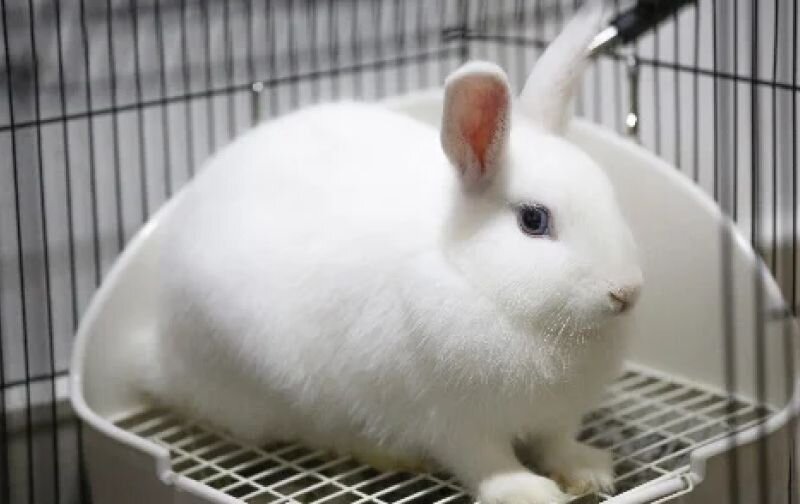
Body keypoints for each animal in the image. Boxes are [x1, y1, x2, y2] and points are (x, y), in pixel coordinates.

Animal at [143, 3, 642, 503]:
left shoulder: (556, 415)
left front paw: (587, 471)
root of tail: (157, 353)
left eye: (607, 194)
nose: (626, 293)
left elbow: (557, 442)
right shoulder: (453, 421)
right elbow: (487, 462)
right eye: (533, 221)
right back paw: (387, 454)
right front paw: (526, 492)